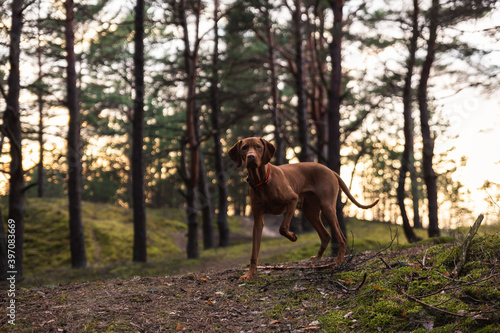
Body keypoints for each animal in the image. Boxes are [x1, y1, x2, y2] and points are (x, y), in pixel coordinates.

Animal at [230, 136, 378, 278]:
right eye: (244, 148)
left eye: (258, 147)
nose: (251, 157)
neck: (261, 181)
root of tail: (330, 170)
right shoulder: (258, 220)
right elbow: (254, 252)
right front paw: (249, 274)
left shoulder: (292, 199)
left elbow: (282, 228)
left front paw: (293, 237)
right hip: (309, 211)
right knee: (326, 235)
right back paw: (318, 258)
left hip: (327, 208)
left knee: (341, 238)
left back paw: (338, 262)